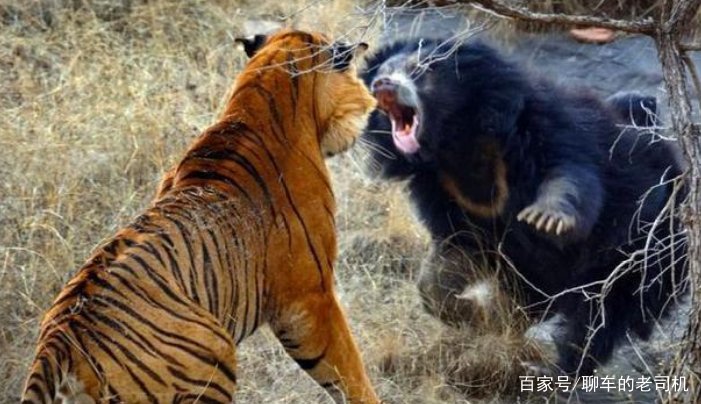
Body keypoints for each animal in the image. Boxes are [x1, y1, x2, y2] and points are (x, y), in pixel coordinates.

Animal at [359, 37, 687, 375]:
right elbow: (453, 256)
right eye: (380, 74)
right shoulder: (447, 193)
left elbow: (570, 176)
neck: (456, 144)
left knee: (600, 318)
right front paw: (477, 315)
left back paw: (556, 369)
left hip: (644, 254)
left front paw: (545, 219)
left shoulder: (545, 128)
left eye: (419, 70)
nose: (383, 85)